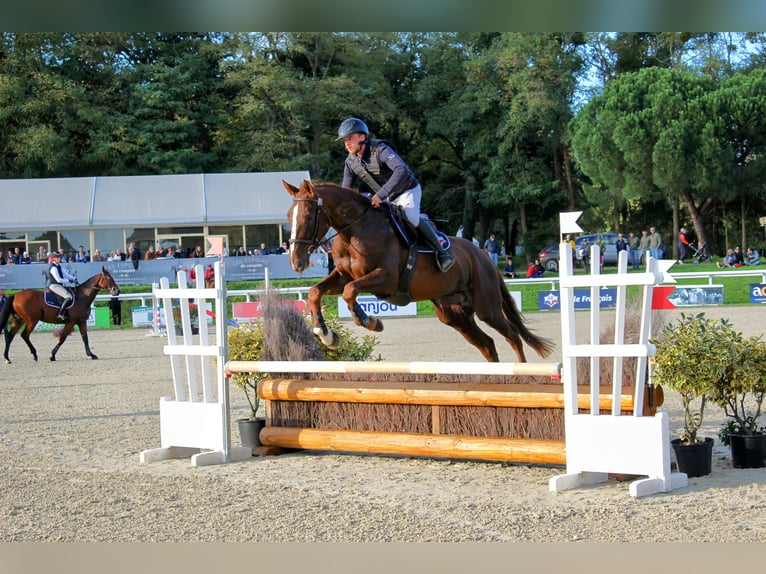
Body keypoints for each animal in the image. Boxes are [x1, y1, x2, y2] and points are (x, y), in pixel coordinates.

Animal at [284, 180, 556, 364]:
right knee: (487, 344)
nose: (296, 262)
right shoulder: (343, 276)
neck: (356, 230)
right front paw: (325, 334)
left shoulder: (386, 279)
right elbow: (316, 292)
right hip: (454, 315)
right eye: (288, 217)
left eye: (308, 217)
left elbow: (350, 292)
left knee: (512, 336)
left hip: (486, 307)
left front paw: (370, 321)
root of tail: (483, 255)